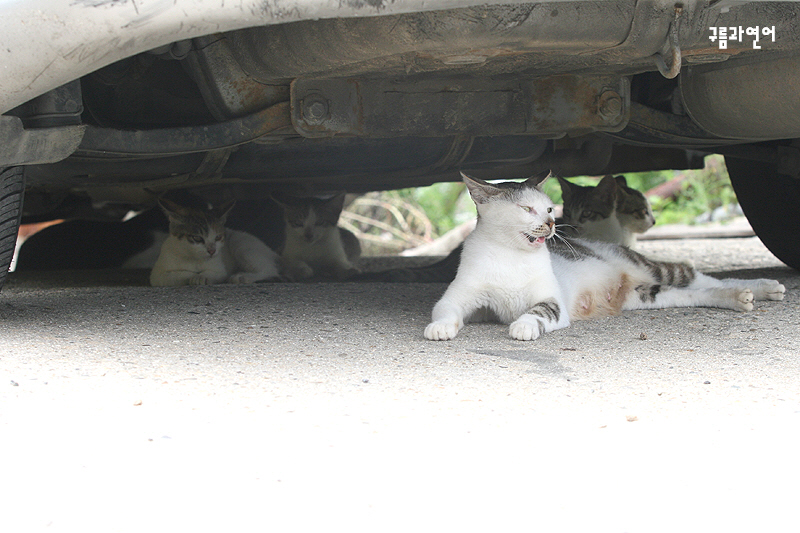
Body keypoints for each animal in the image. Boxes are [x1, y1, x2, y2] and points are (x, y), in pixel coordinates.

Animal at [150, 196, 282, 286]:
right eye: (197, 238)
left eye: (218, 237)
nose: (212, 251)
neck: (193, 259)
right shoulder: (157, 275)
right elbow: (174, 275)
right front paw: (194, 276)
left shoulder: (220, 269)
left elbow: (215, 273)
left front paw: (202, 277)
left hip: (241, 245)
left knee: (271, 270)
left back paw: (242, 277)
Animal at [422, 174, 784, 340]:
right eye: (526, 209)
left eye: (549, 209)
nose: (552, 224)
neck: (510, 255)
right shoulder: (459, 296)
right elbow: (446, 310)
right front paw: (440, 328)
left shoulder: (551, 301)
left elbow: (538, 312)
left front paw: (523, 325)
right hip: (647, 296)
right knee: (698, 293)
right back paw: (737, 298)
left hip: (654, 269)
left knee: (696, 274)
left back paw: (763, 286)